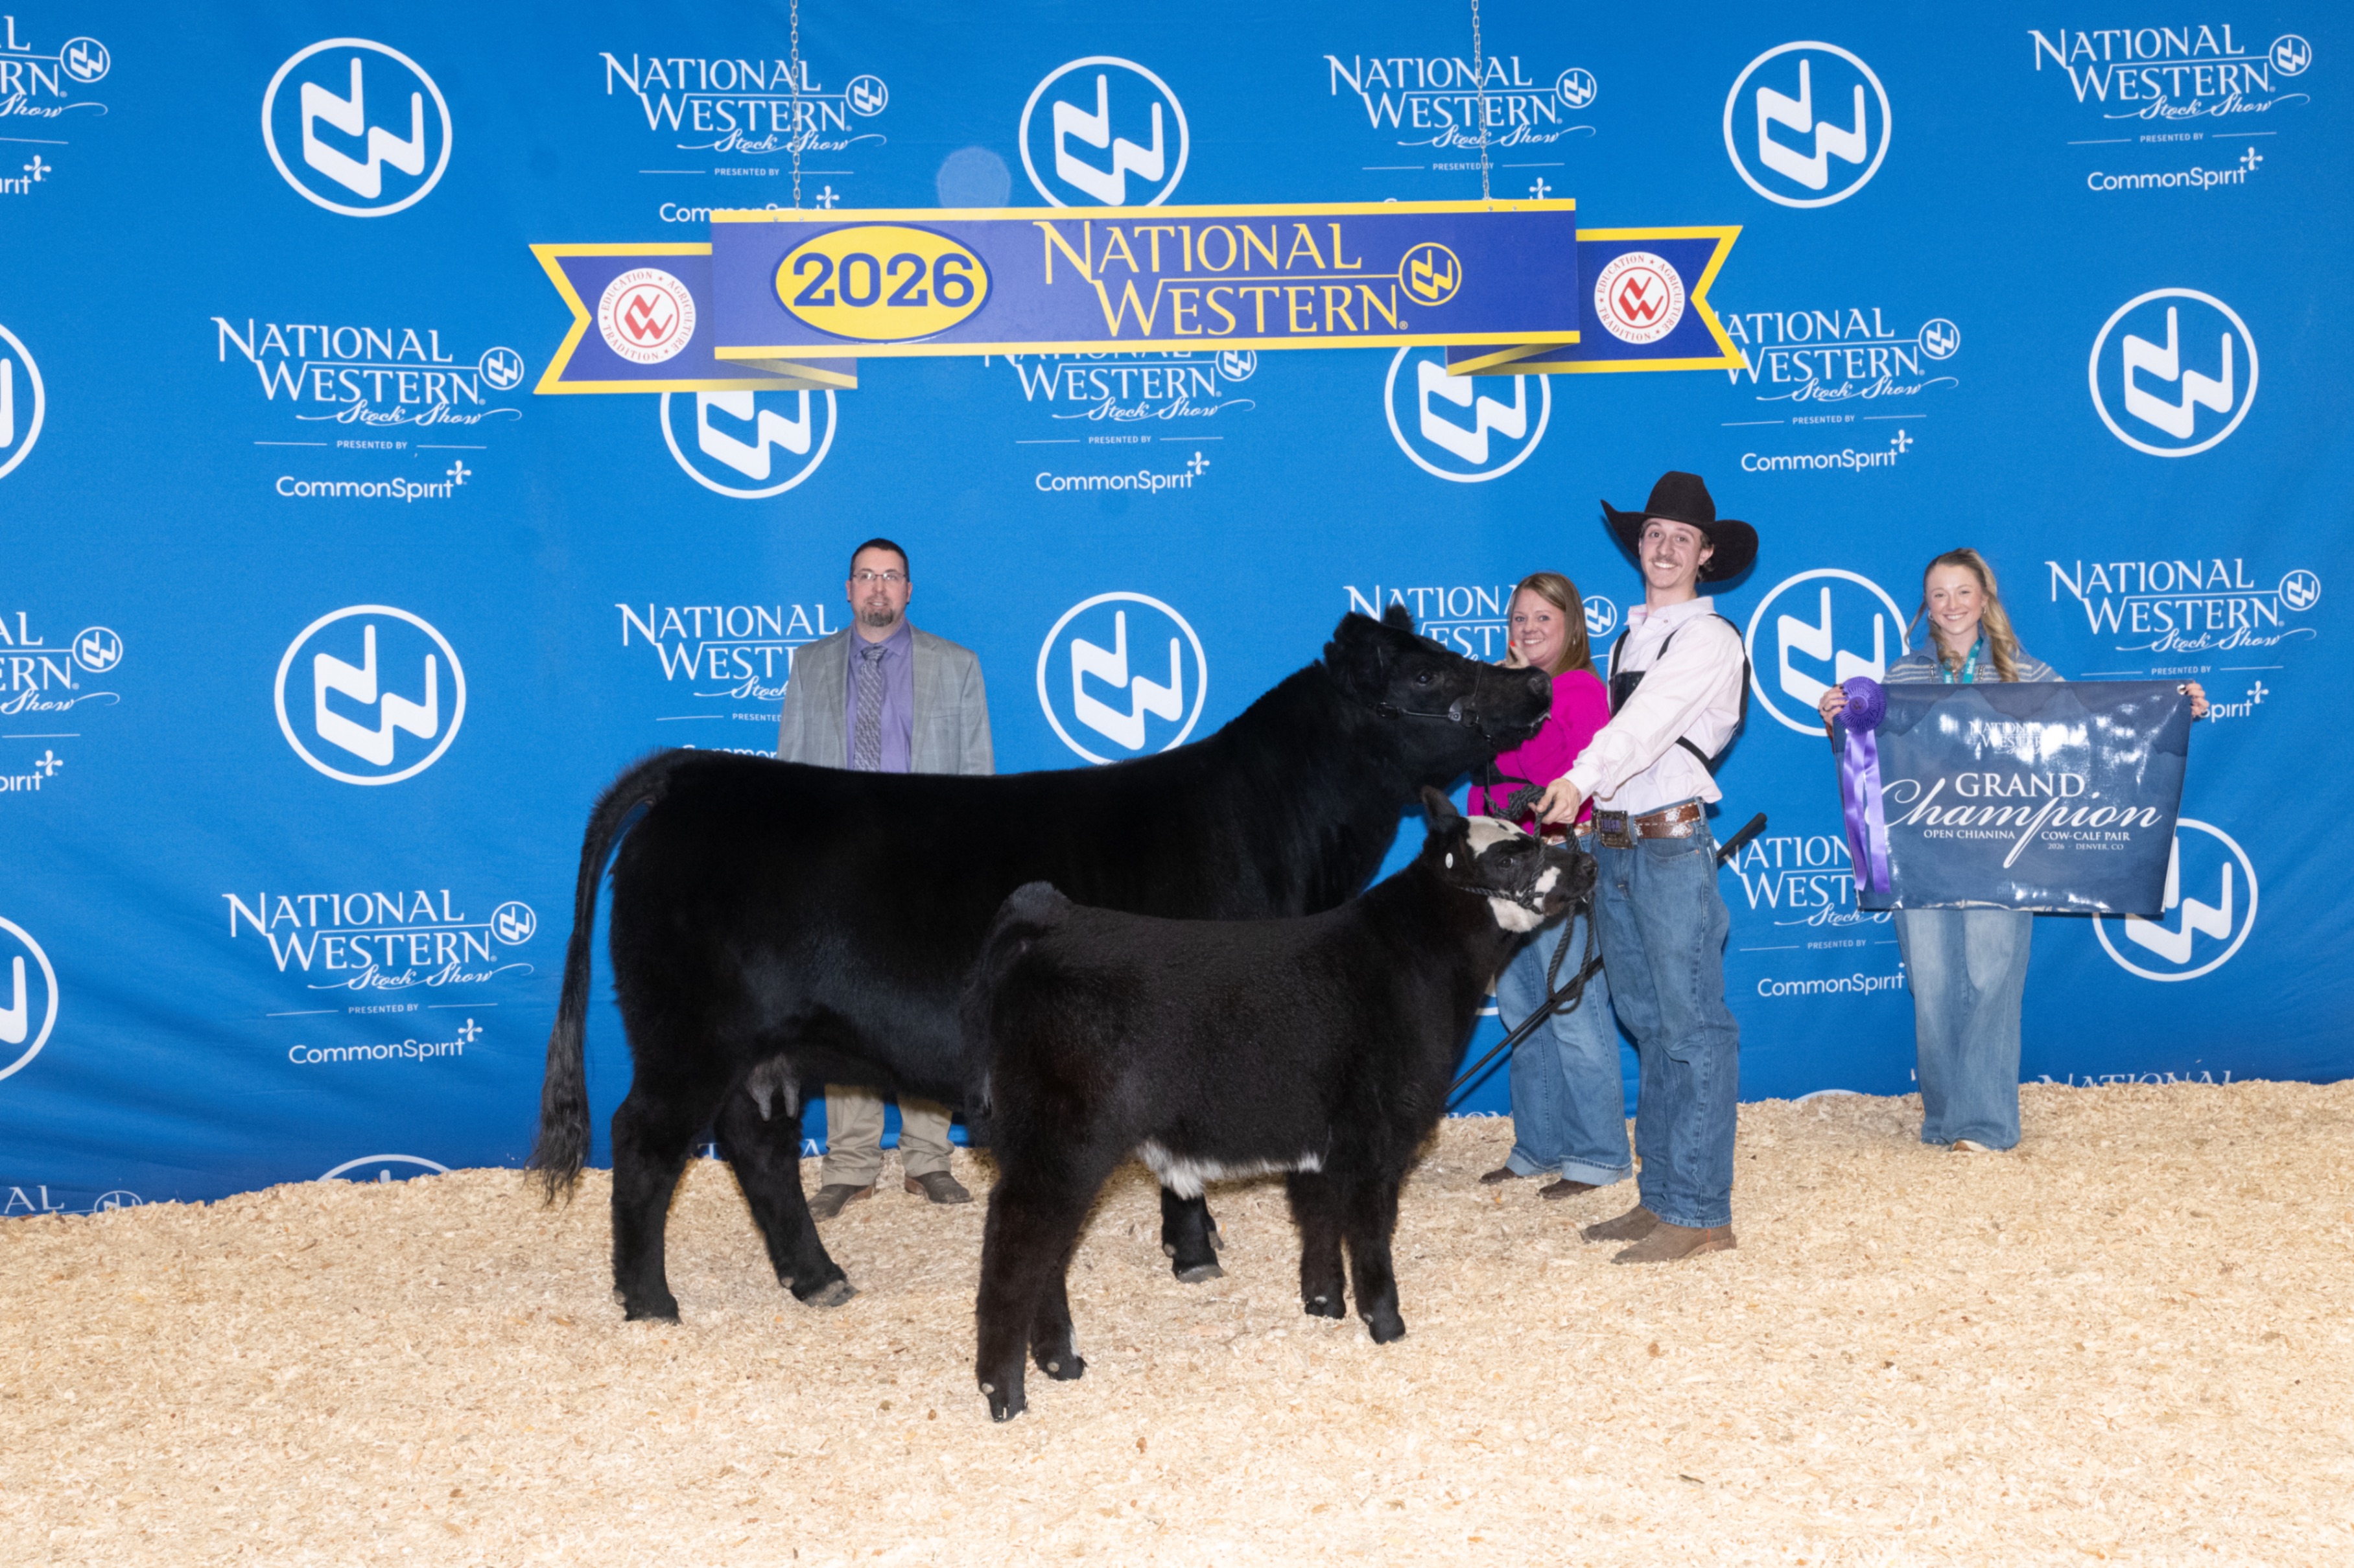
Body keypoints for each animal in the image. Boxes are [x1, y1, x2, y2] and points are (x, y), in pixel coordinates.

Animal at [530, 608, 1551, 1324]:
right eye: (1427, 670)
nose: (1537, 679)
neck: (1276, 833)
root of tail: (696, 770)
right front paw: (1194, 1250)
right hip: (688, 1032)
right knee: (645, 1141)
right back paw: (650, 1301)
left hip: (765, 1049)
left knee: (759, 1149)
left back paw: (816, 1278)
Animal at [963, 790, 1593, 1419]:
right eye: (1508, 856)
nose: (1586, 864)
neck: (1413, 961)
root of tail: (1048, 925)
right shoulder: (1378, 1135)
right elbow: (1369, 1230)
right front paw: (1385, 1322)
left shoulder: (1321, 1140)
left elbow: (1319, 1217)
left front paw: (1323, 1303)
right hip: (1063, 1145)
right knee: (1017, 1248)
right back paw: (1005, 1393)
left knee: (1048, 1255)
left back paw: (1061, 1362)